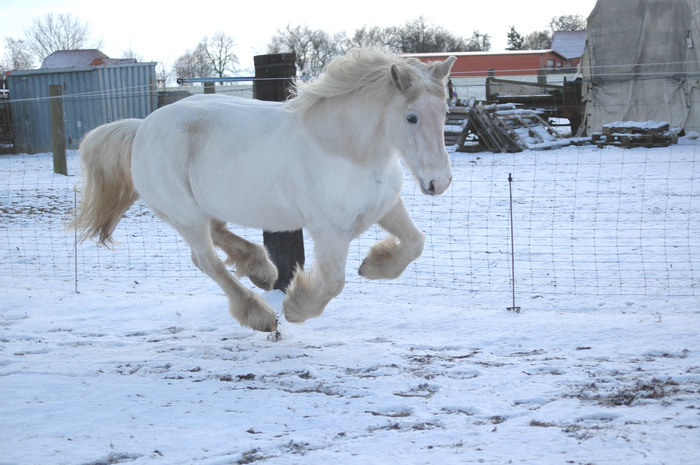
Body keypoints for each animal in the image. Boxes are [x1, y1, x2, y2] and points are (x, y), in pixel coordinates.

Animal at [71, 48, 454, 330]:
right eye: (411, 117)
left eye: (445, 112)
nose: (439, 183)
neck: (343, 148)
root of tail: (142, 128)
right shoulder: (329, 231)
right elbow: (333, 282)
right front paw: (296, 308)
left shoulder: (385, 206)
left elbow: (416, 243)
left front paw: (373, 266)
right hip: (184, 214)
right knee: (206, 259)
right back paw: (259, 314)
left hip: (205, 205)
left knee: (219, 234)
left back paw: (260, 269)